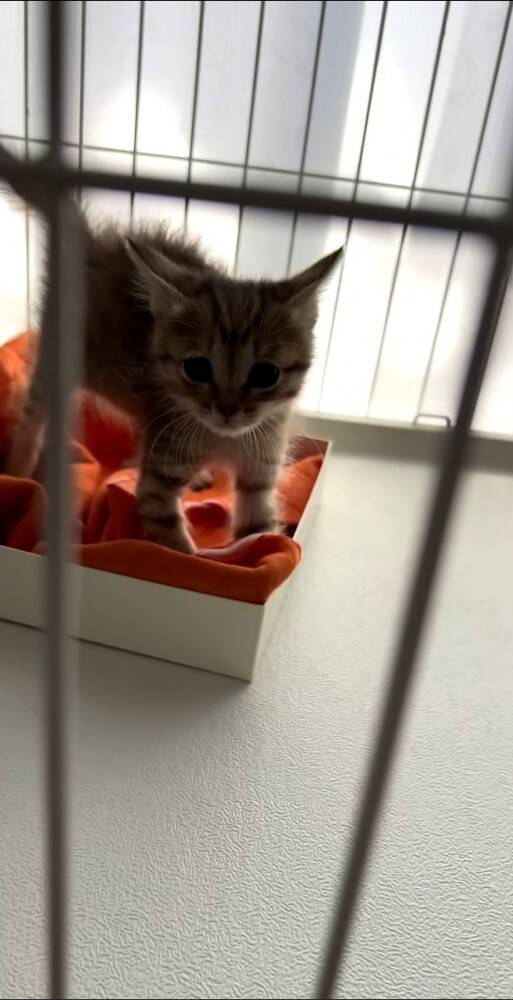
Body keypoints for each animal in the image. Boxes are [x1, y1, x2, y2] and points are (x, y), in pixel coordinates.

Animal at [1, 143, 342, 553]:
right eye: (197, 368)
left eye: (266, 374)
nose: (228, 409)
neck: (223, 439)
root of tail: (94, 244)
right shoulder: (157, 486)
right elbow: (176, 548)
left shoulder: (259, 475)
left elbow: (258, 533)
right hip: (59, 358)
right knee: (31, 410)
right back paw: (19, 471)